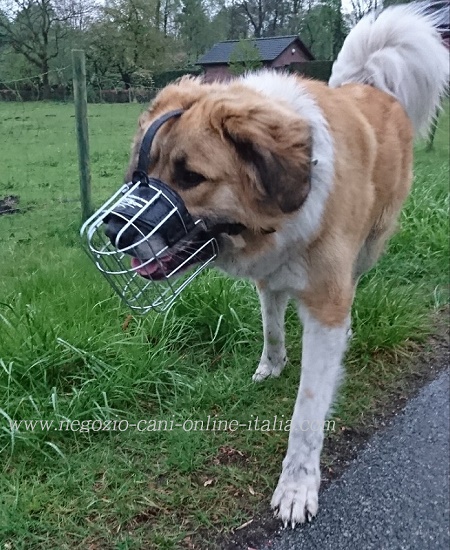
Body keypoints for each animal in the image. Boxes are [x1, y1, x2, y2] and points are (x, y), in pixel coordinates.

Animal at [115, 4, 446, 532]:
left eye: (191, 177)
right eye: (139, 174)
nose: (113, 229)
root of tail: (371, 87)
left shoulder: (327, 303)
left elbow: (306, 414)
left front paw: (296, 486)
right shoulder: (269, 276)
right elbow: (271, 324)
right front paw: (271, 365)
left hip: (370, 245)